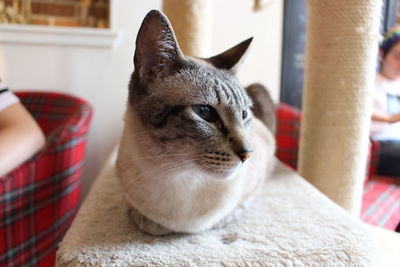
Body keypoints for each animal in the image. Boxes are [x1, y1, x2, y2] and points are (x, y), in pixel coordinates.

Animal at [116, 9, 276, 237]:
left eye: (244, 114)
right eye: (204, 112)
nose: (248, 154)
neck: (177, 176)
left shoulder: (259, 176)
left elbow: (236, 208)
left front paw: (221, 221)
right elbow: (144, 220)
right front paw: (150, 222)